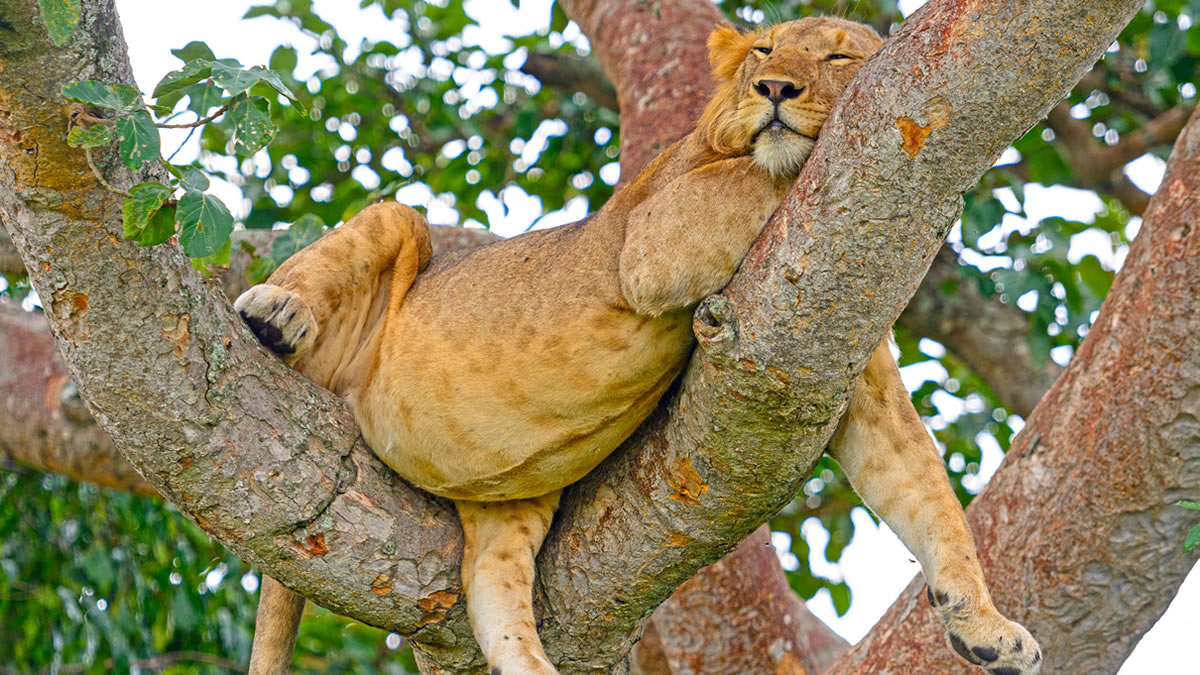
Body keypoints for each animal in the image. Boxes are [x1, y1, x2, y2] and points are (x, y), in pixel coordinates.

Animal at [234, 15, 1041, 672]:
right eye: (764, 51)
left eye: (839, 56)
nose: (775, 88)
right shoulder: (654, 238)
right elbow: (761, 172)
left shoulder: (849, 362)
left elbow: (928, 494)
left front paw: (988, 627)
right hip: (398, 232)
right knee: (367, 237)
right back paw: (274, 313)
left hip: (511, 496)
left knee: (492, 594)